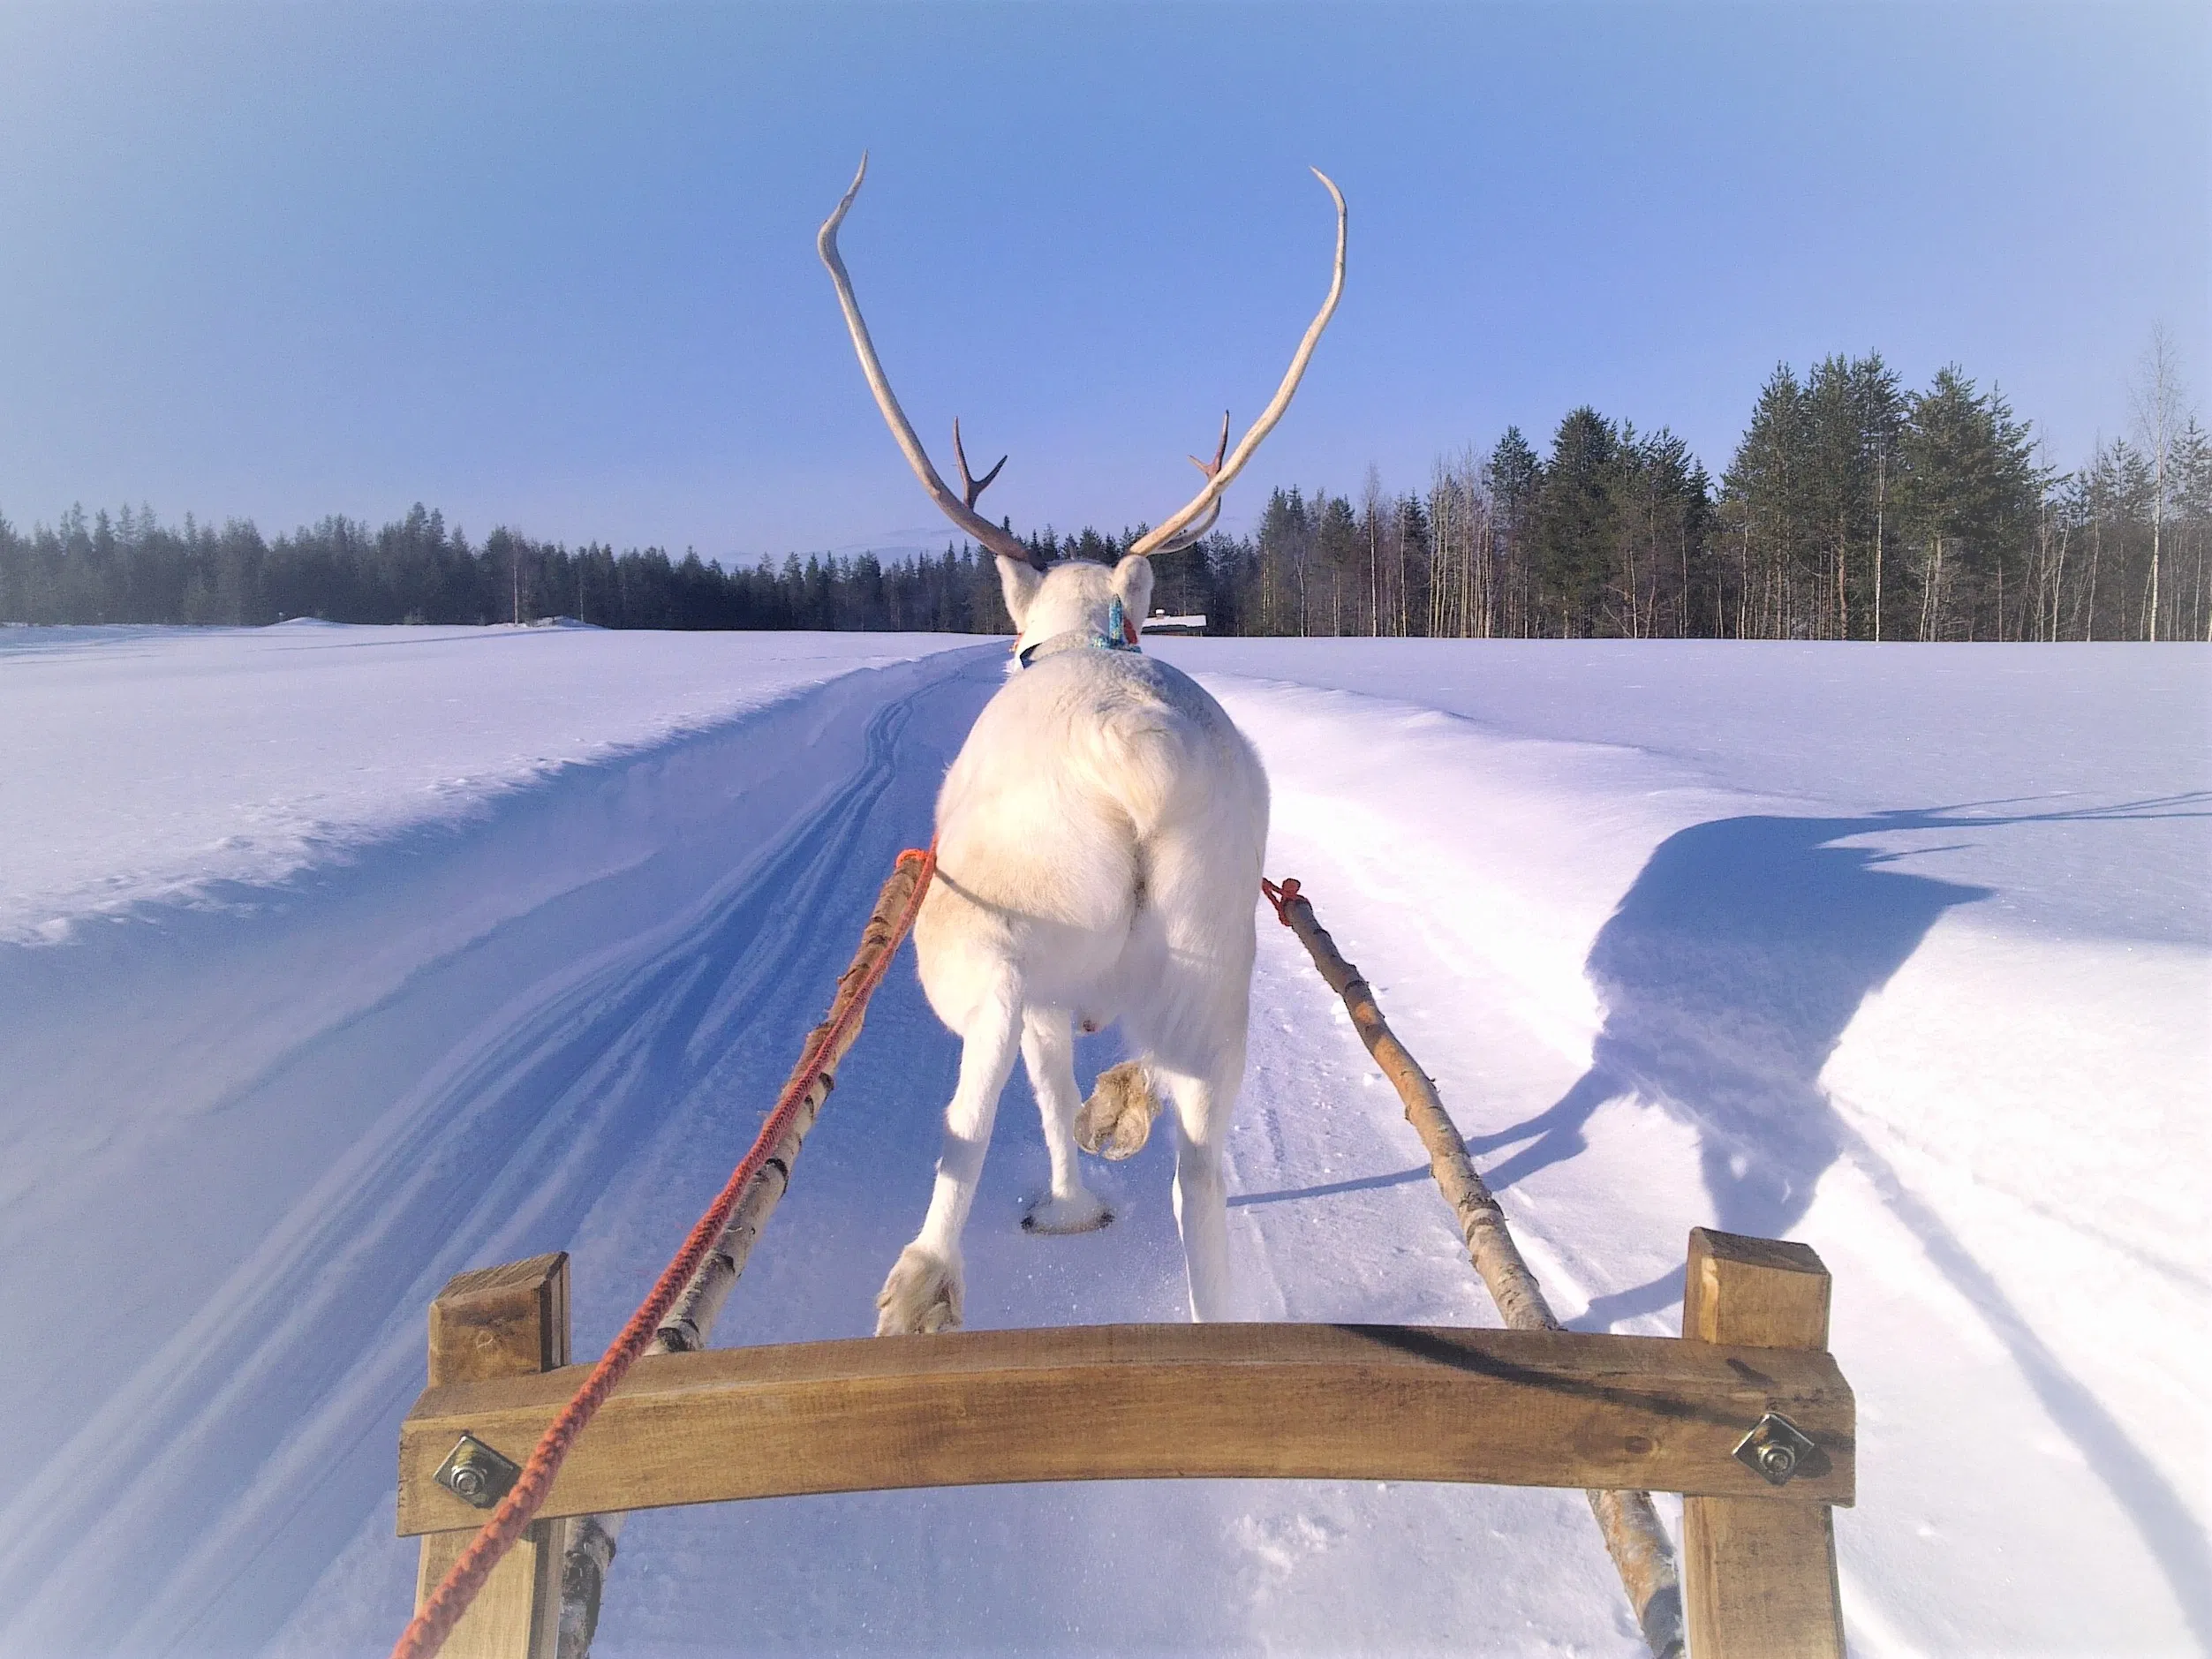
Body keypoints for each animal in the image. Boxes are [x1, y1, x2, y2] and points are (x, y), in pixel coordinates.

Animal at [818, 156, 1345, 1334]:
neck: (1071, 643)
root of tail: (1132, 746)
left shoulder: (1052, 996)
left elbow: (1048, 1095)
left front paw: (1068, 1201)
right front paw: (1112, 1130)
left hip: (984, 941)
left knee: (983, 1086)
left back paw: (926, 1278)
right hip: (1215, 978)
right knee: (1199, 1176)